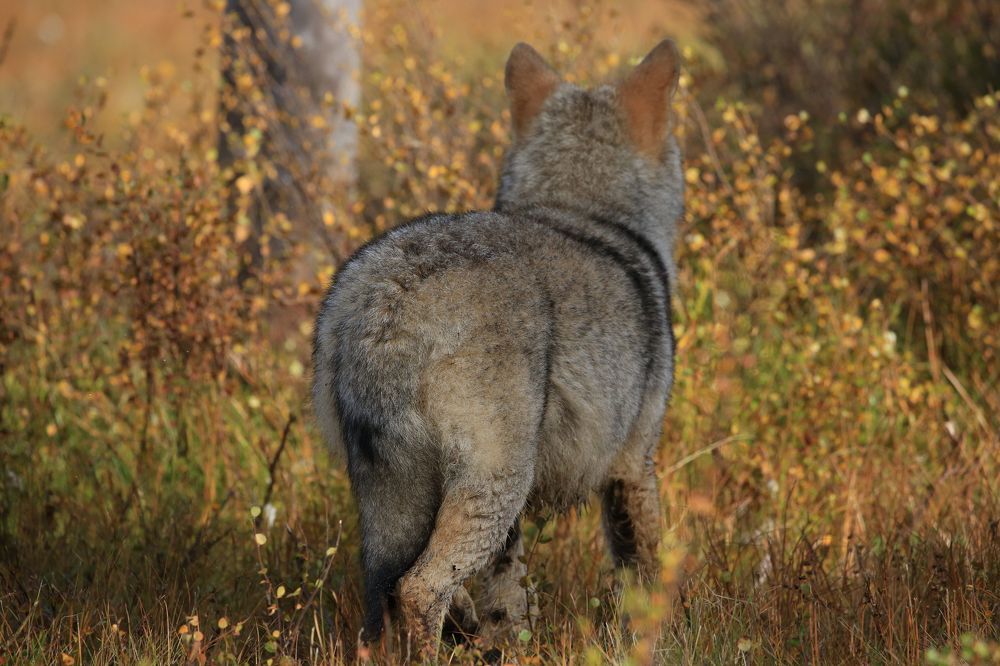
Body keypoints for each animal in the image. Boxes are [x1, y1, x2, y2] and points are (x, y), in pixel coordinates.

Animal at [312, 39, 683, 658]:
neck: (582, 212)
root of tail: (388, 292)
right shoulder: (634, 463)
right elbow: (646, 569)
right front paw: (662, 635)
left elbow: (508, 593)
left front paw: (505, 642)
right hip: (496, 482)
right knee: (419, 587)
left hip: (398, 494)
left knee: (393, 591)